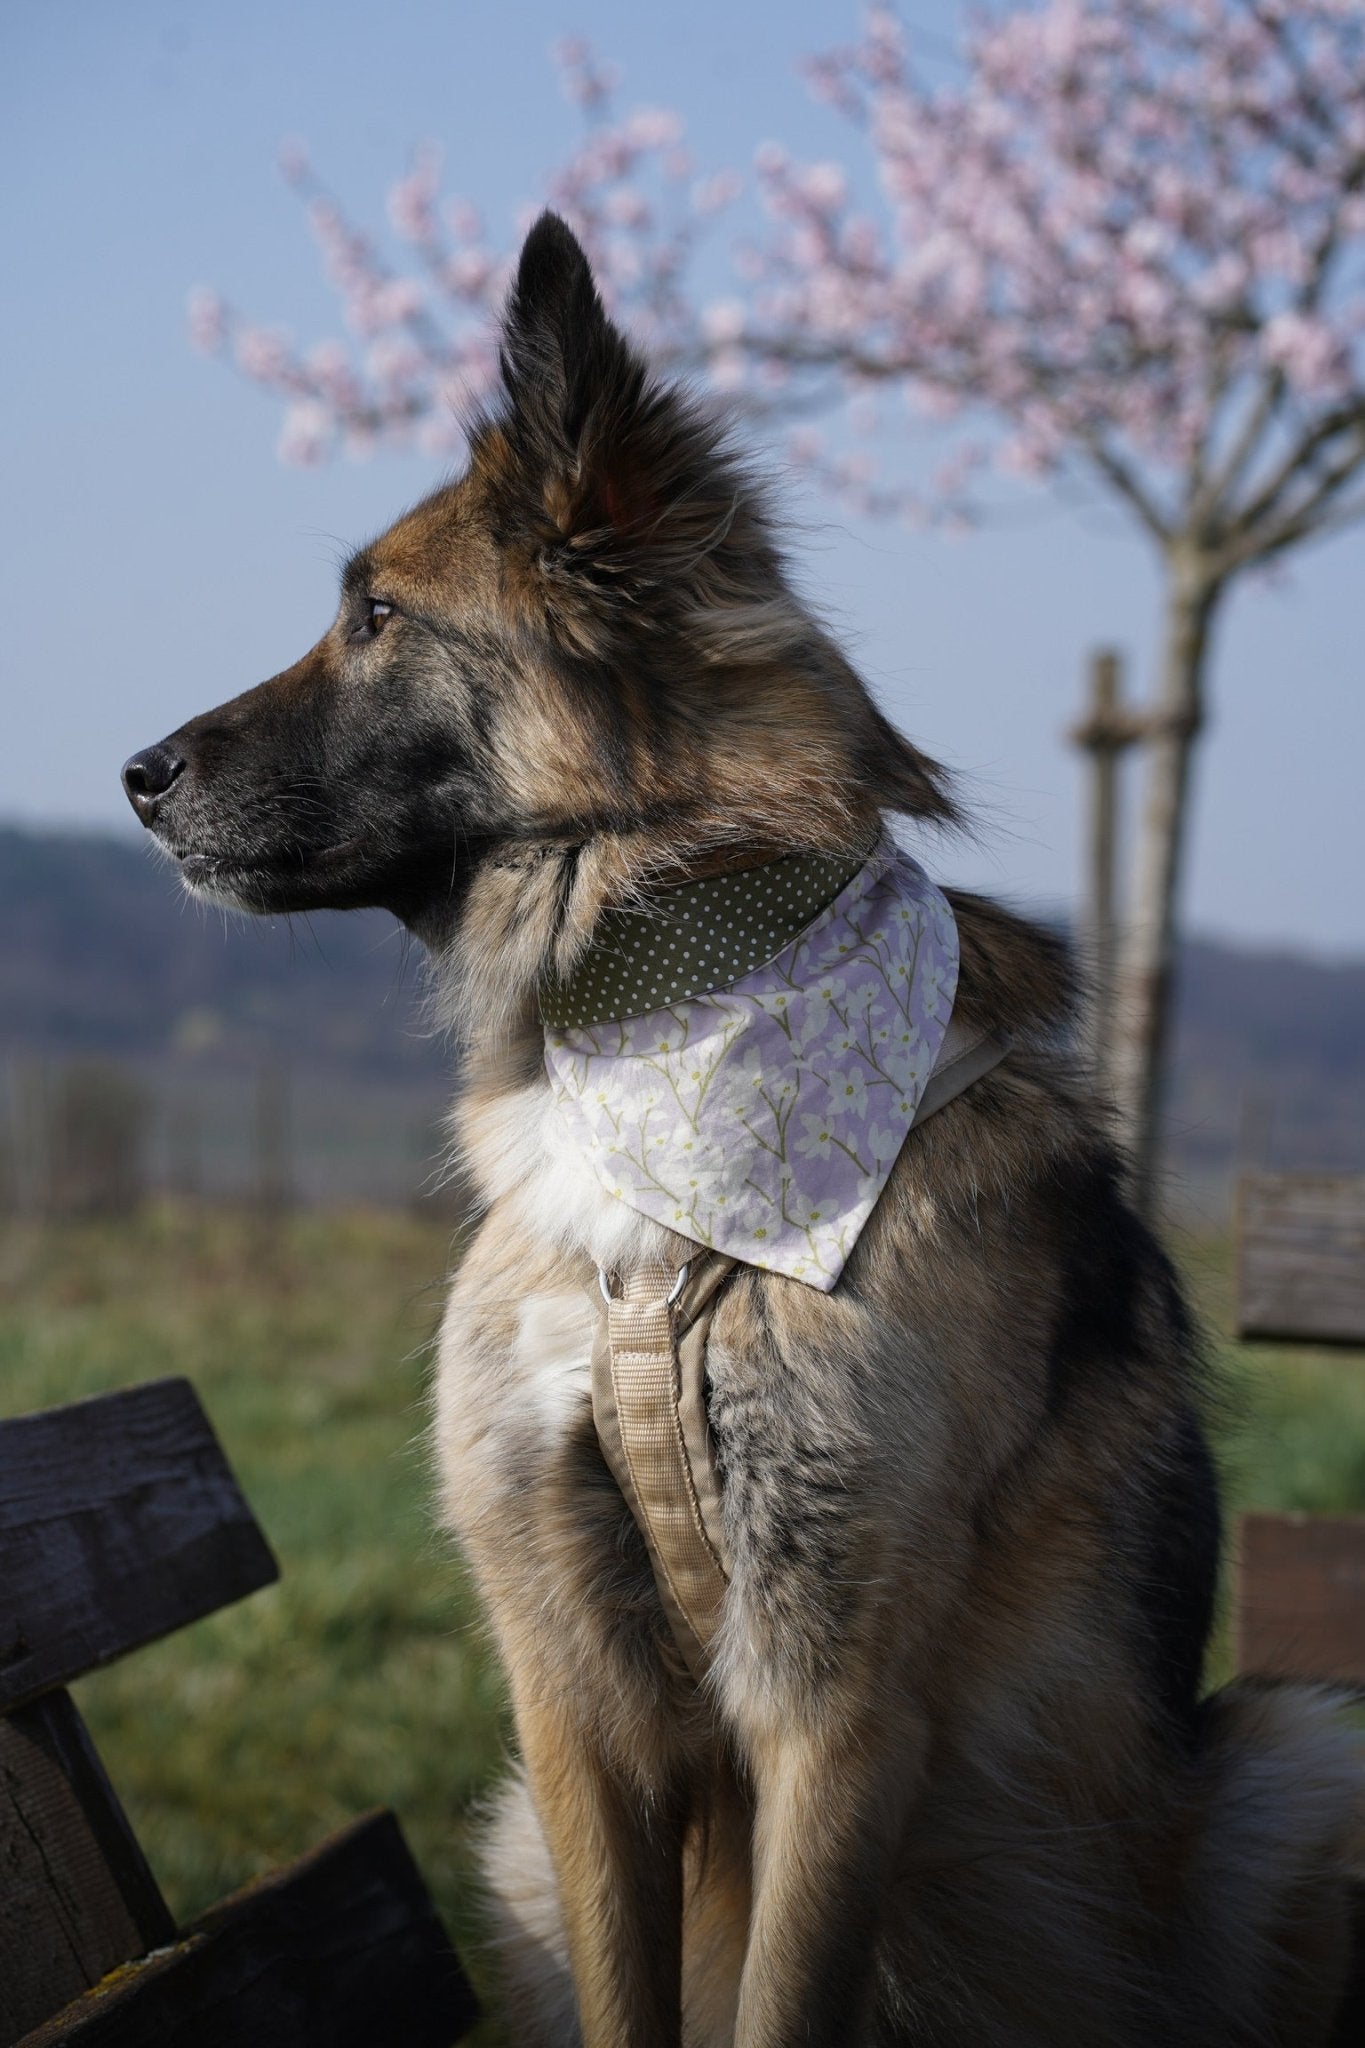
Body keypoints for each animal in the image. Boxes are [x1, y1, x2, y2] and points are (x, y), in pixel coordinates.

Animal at [123, 213, 1361, 2046]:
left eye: (377, 615)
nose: (138, 776)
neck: (663, 1016)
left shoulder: (833, 1703)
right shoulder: (570, 1702)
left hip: (1291, 1757)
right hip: (514, 1829)